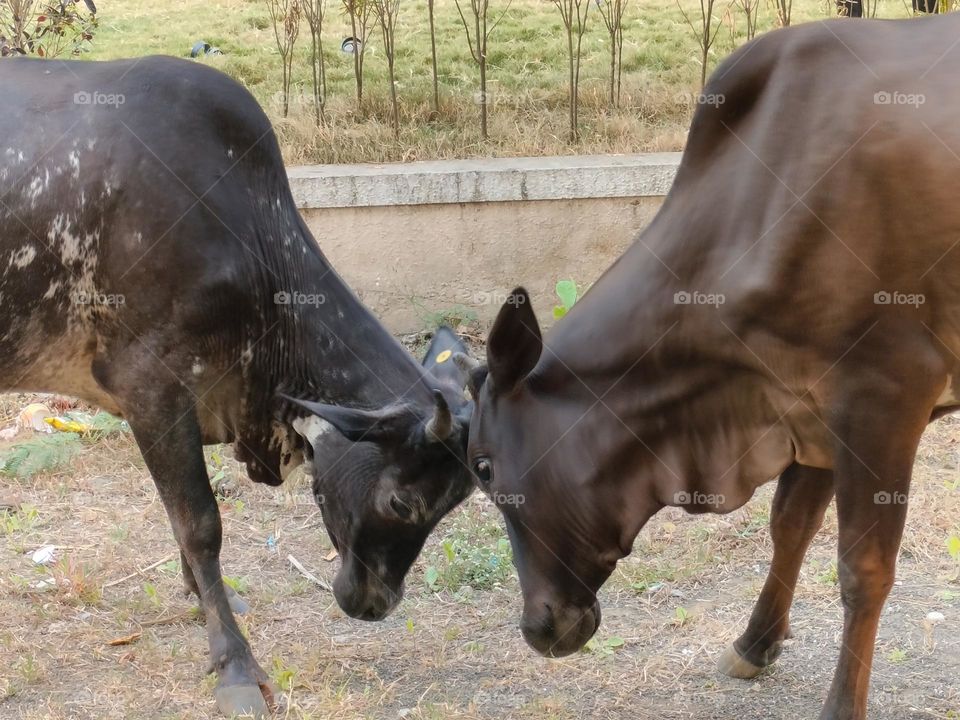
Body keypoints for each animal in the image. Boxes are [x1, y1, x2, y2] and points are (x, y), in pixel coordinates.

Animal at [462, 12, 960, 720]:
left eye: (482, 467)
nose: (537, 627)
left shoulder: (884, 394)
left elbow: (862, 571)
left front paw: (841, 704)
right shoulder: (805, 403)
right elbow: (790, 526)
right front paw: (754, 642)